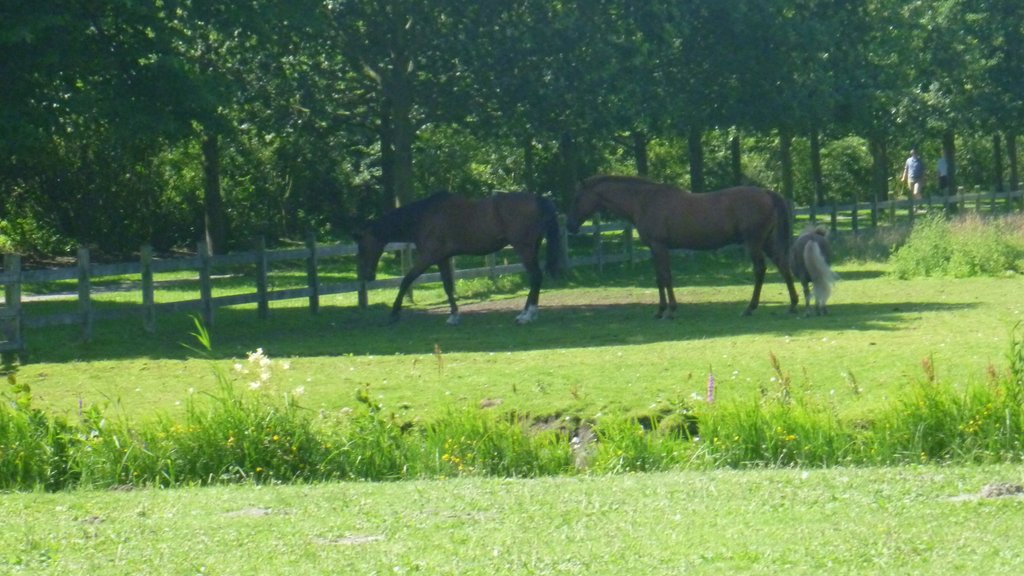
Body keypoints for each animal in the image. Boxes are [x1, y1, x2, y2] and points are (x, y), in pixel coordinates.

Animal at [354, 188, 565, 323]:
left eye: (363, 247)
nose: (367, 275)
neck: (424, 217)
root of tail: (539, 200)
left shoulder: (428, 257)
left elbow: (407, 280)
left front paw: (394, 313)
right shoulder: (442, 259)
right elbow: (447, 285)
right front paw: (454, 315)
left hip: (524, 249)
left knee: (535, 276)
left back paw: (528, 315)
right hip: (532, 248)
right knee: (535, 278)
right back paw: (525, 313)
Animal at [565, 175, 794, 317]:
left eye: (577, 197)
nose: (569, 225)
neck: (644, 201)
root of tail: (767, 193)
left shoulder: (659, 246)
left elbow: (665, 277)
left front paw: (670, 310)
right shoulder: (656, 249)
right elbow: (660, 278)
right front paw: (660, 310)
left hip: (754, 243)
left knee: (760, 270)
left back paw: (749, 308)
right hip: (766, 242)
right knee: (783, 266)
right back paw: (793, 304)